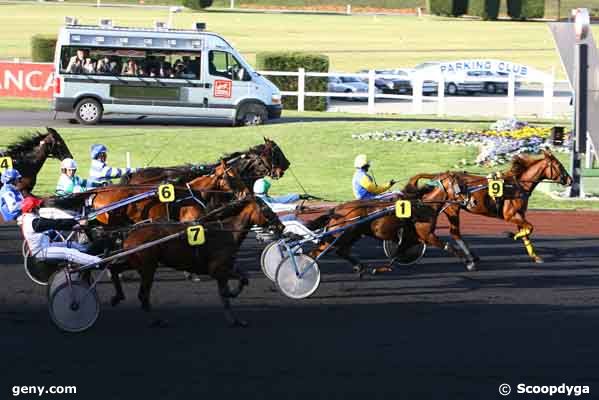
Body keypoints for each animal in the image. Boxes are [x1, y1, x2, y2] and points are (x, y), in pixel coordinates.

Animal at [110, 195, 286, 326]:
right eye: (266, 209)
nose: (281, 226)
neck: (227, 232)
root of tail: (131, 234)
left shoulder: (226, 267)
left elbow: (242, 279)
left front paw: (234, 311)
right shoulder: (217, 270)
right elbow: (228, 290)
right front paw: (233, 305)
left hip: (137, 262)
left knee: (115, 269)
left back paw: (117, 296)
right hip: (148, 267)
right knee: (143, 295)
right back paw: (156, 320)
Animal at [406, 152, 576, 268]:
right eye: (559, 166)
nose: (570, 180)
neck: (518, 185)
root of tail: (441, 176)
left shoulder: (519, 215)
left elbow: (527, 233)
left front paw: (535, 257)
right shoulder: (511, 215)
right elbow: (530, 228)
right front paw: (510, 235)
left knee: (455, 233)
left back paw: (472, 257)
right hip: (453, 208)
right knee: (454, 233)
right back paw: (470, 258)